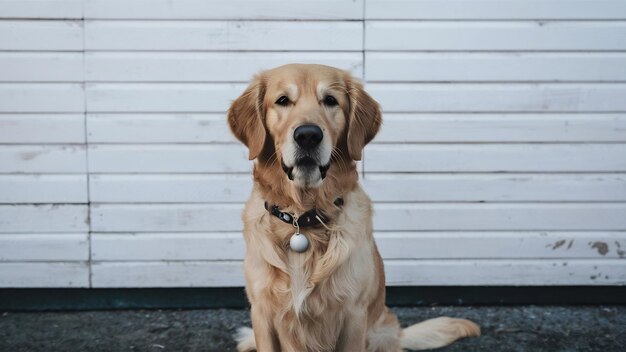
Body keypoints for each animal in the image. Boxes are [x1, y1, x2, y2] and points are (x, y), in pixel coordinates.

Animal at [227, 64, 480, 350]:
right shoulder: (262, 313)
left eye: (330, 100)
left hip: (380, 334)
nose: (308, 135)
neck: (302, 220)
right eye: (282, 100)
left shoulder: (353, 315)